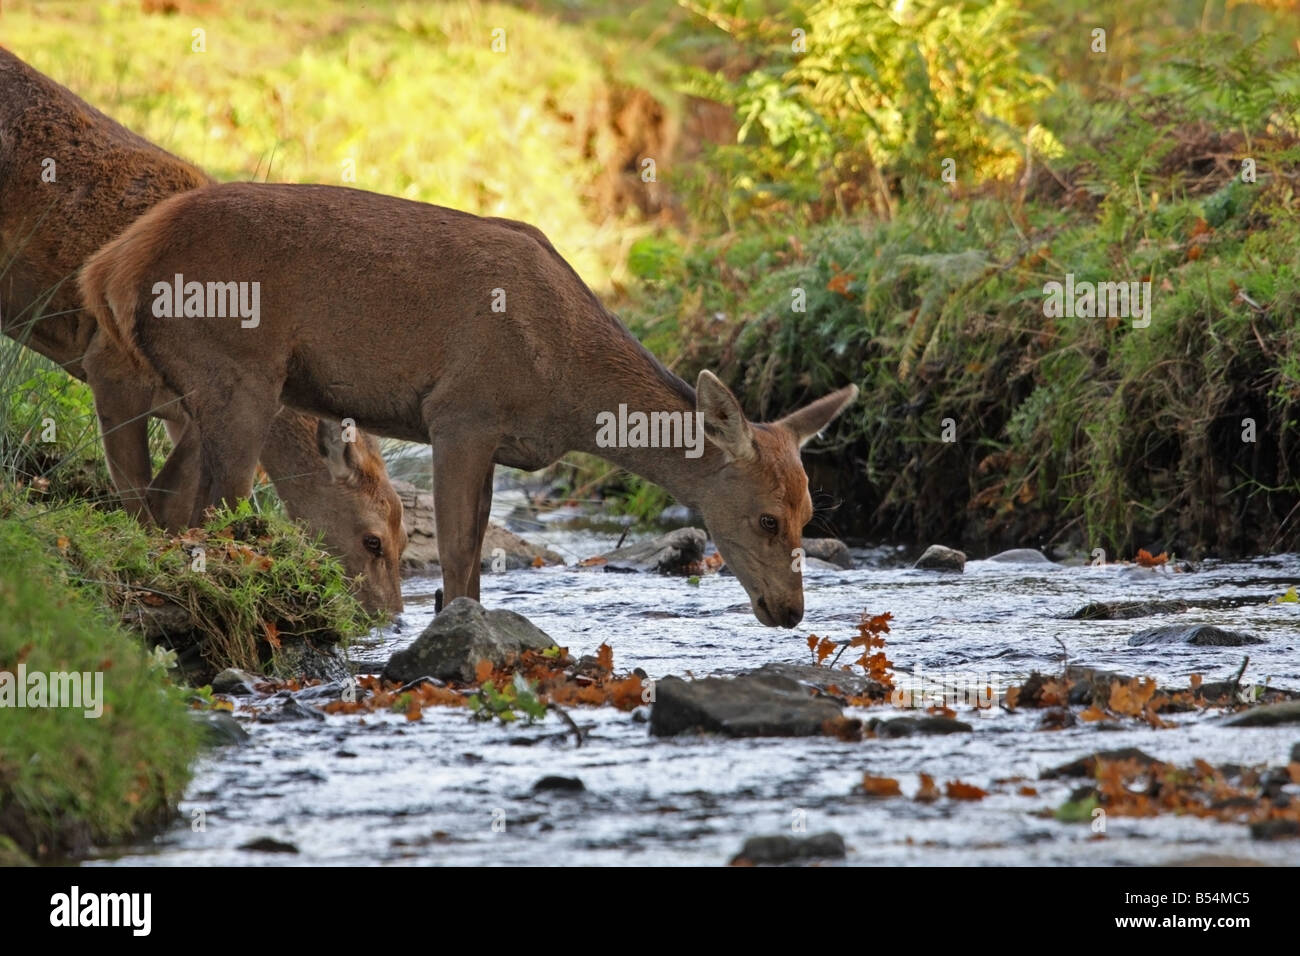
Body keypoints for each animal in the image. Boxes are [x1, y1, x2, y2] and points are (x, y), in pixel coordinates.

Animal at [0, 47, 405, 613]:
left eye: (404, 540)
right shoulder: (110, 362)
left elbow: (176, 498)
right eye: (373, 540)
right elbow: (139, 494)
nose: (391, 614)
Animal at [79, 181, 858, 627]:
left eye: (809, 515)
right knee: (213, 505)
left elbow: (475, 550)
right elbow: (458, 556)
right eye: (766, 518)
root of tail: (115, 262)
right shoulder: (461, 412)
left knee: (166, 498)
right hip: (237, 366)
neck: (567, 391)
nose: (791, 612)